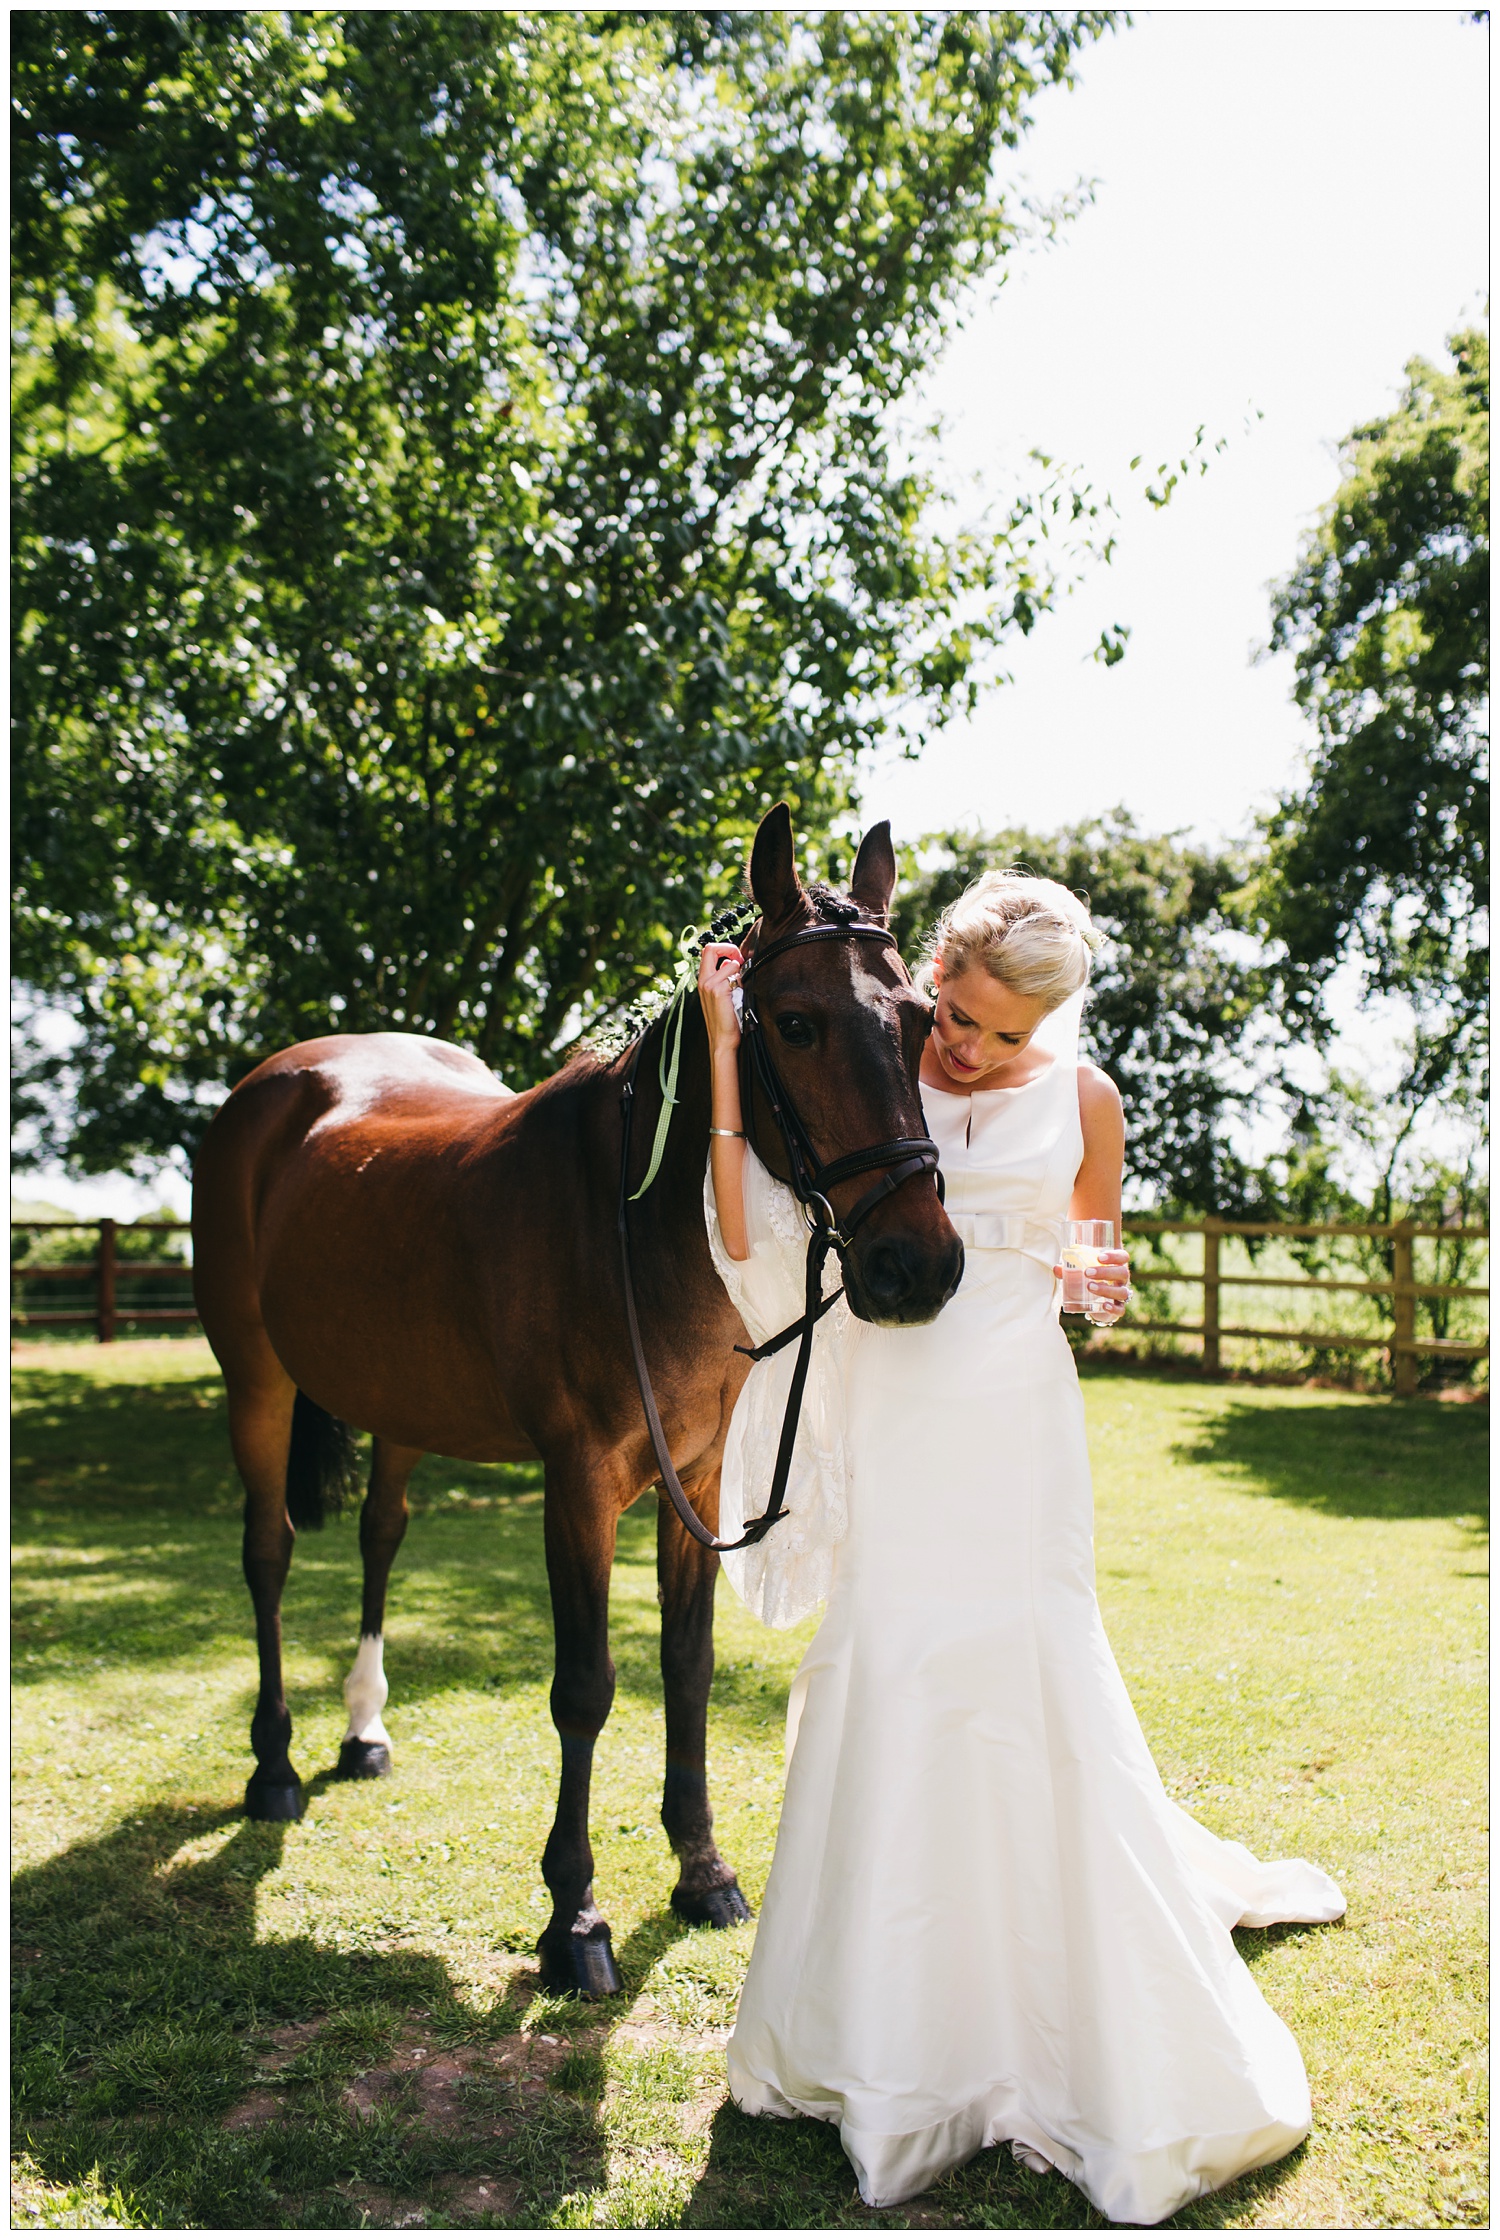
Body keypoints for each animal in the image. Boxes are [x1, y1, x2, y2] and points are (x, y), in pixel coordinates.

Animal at [191, 806, 962, 1998]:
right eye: (795, 1024)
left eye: (923, 1021)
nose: (916, 1266)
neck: (634, 1221)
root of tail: (277, 1083)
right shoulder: (580, 1484)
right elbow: (586, 1686)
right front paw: (576, 1915)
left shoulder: (695, 1484)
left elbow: (686, 1667)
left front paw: (702, 1870)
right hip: (256, 1379)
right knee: (268, 1553)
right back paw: (272, 1764)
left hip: (399, 1404)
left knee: (380, 1535)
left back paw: (363, 1732)